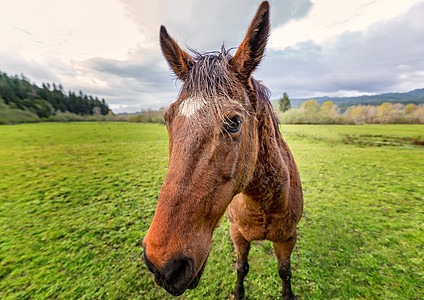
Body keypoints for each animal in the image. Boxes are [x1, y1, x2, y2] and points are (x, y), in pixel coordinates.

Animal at [144, 1, 304, 298]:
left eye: (234, 122)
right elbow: (241, 268)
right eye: (167, 119)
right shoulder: (237, 235)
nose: (162, 265)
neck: (263, 202)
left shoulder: (288, 239)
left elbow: (285, 272)